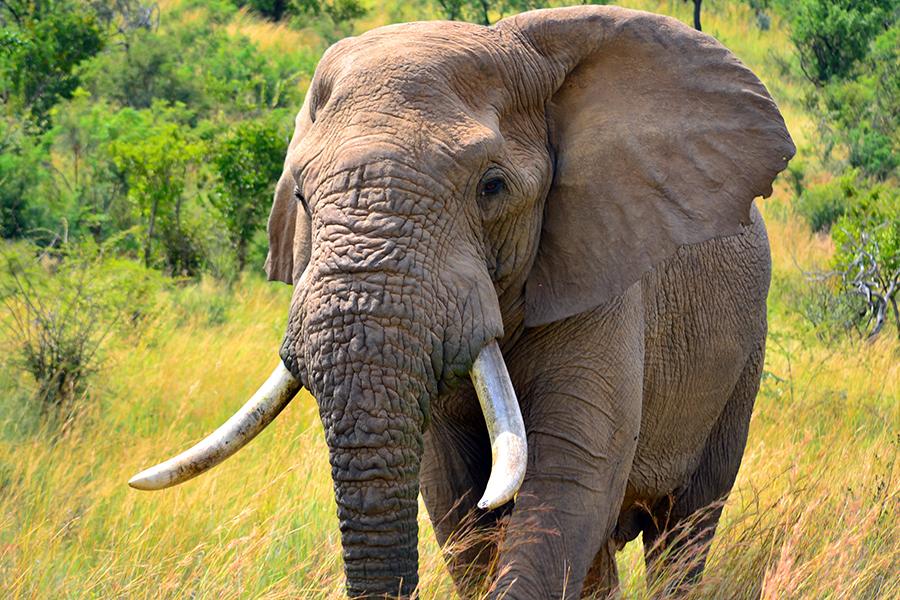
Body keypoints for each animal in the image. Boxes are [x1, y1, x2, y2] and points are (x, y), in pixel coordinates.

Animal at [129, 5, 795, 599]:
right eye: (300, 196)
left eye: (491, 187)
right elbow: (454, 498)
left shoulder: (602, 270)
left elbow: (571, 477)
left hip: (743, 358)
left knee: (685, 529)